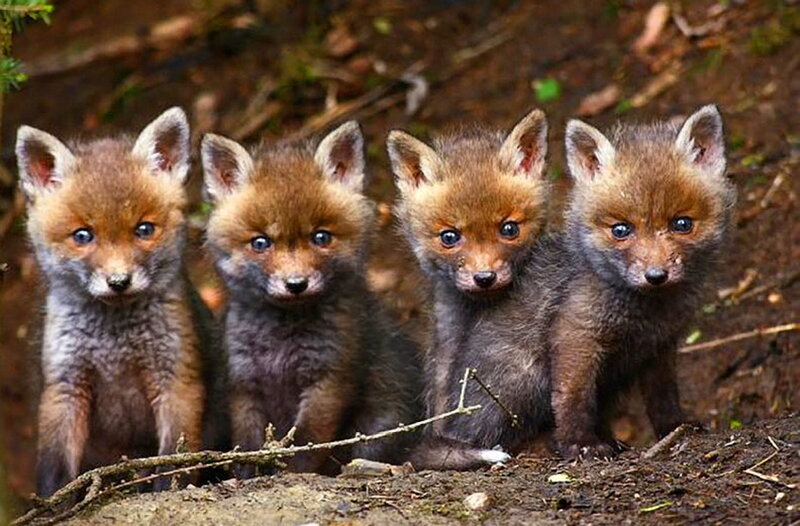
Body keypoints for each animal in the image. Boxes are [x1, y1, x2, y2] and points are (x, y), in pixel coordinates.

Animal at [17, 108, 228, 497]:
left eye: (144, 230)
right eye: (83, 235)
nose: (118, 282)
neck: (114, 344)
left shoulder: (177, 380)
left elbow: (173, 461)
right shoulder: (64, 387)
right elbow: (55, 471)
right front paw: (54, 504)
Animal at [201, 121, 423, 474]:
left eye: (321, 237)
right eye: (260, 243)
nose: (296, 284)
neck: (280, 344)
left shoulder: (329, 380)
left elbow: (305, 443)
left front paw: (291, 473)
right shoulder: (242, 382)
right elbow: (247, 445)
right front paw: (247, 474)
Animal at [546, 104, 737, 458]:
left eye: (682, 224)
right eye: (621, 230)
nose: (656, 276)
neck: (647, 314)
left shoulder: (660, 344)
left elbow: (663, 395)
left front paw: (675, 429)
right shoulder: (576, 333)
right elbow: (572, 394)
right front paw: (579, 443)